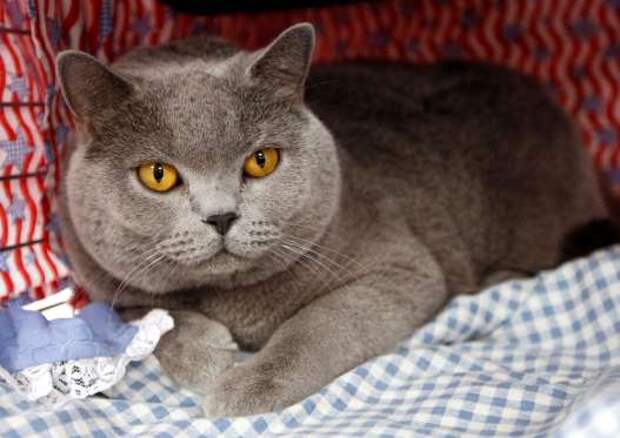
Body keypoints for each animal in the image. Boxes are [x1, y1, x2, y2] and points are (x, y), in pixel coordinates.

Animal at [55, 23, 608, 414]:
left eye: (261, 161)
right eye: (159, 175)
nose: (221, 216)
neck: (234, 301)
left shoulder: (401, 270)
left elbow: (314, 327)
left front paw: (243, 387)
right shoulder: (101, 277)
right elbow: (144, 313)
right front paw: (205, 354)